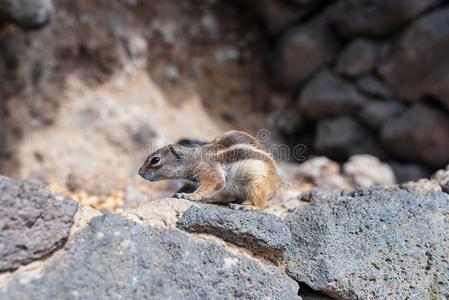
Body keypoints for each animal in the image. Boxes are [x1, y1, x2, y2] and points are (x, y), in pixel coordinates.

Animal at [138, 131, 282, 211]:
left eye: (155, 160)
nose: (139, 172)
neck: (193, 159)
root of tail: (275, 186)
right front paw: (179, 193)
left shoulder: (209, 171)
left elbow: (215, 182)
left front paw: (190, 196)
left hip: (257, 184)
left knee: (260, 205)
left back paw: (247, 207)